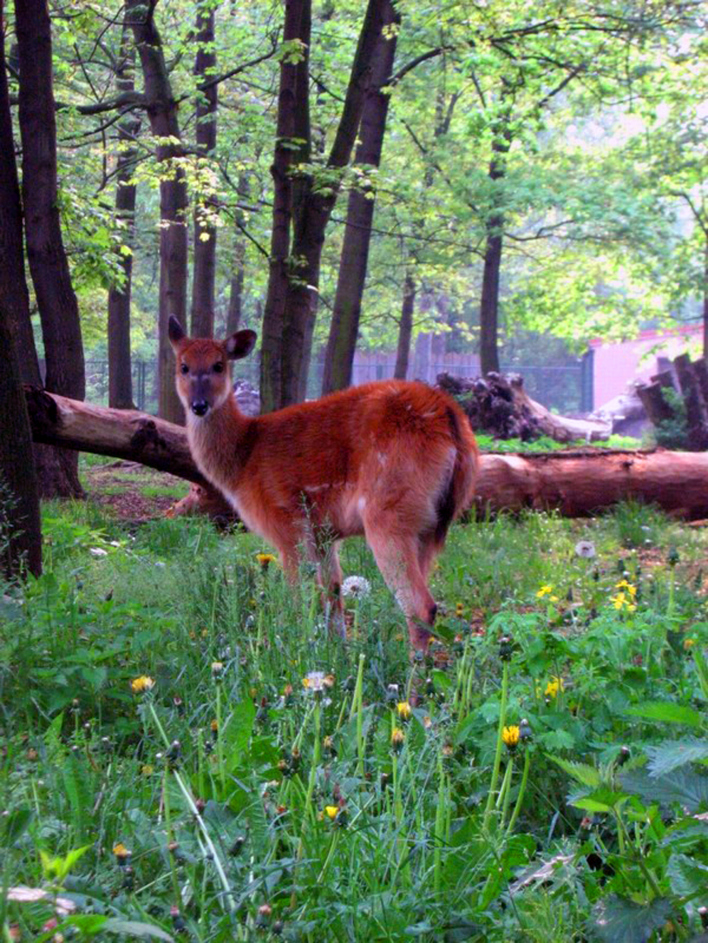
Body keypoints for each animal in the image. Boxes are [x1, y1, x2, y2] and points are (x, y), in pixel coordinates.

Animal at [167, 320, 478, 652]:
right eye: (183, 366)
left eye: (219, 365)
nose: (199, 405)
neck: (244, 459)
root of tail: (450, 415)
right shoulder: (324, 534)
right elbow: (333, 594)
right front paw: (336, 653)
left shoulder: (287, 525)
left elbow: (297, 597)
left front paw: (294, 648)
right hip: (433, 525)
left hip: (391, 511)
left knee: (421, 605)